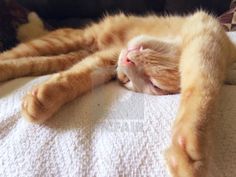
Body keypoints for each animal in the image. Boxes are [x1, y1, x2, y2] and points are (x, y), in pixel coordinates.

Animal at [0, 11, 236, 177]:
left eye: (152, 84)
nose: (125, 67)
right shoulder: (206, 35)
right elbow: (202, 88)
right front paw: (189, 145)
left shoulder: (107, 57)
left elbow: (80, 75)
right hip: (61, 41)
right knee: (16, 54)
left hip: (66, 54)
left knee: (32, 63)